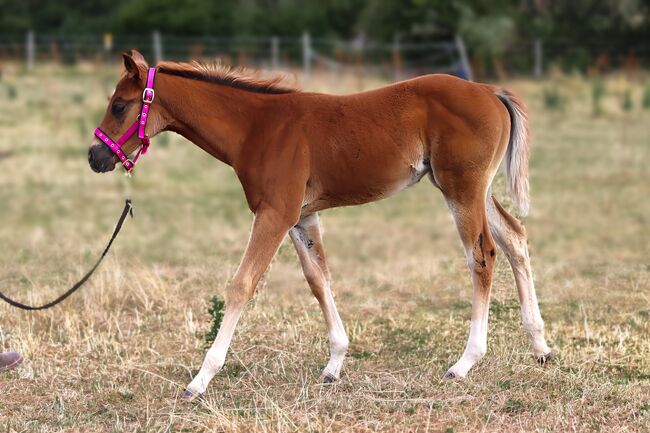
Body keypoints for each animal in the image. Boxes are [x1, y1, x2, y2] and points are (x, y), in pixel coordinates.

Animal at [87, 51, 552, 402]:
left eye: (119, 104)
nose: (95, 156)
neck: (257, 128)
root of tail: (489, 91)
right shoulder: (301, 216)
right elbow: (318, 278)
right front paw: (334, 363)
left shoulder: (274, 213)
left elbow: (242, 285)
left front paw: (200, 380)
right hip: (473, 189)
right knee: (515, 237)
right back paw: (540, 345)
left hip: (461, 189)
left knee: (482, 255)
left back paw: (465, 362)